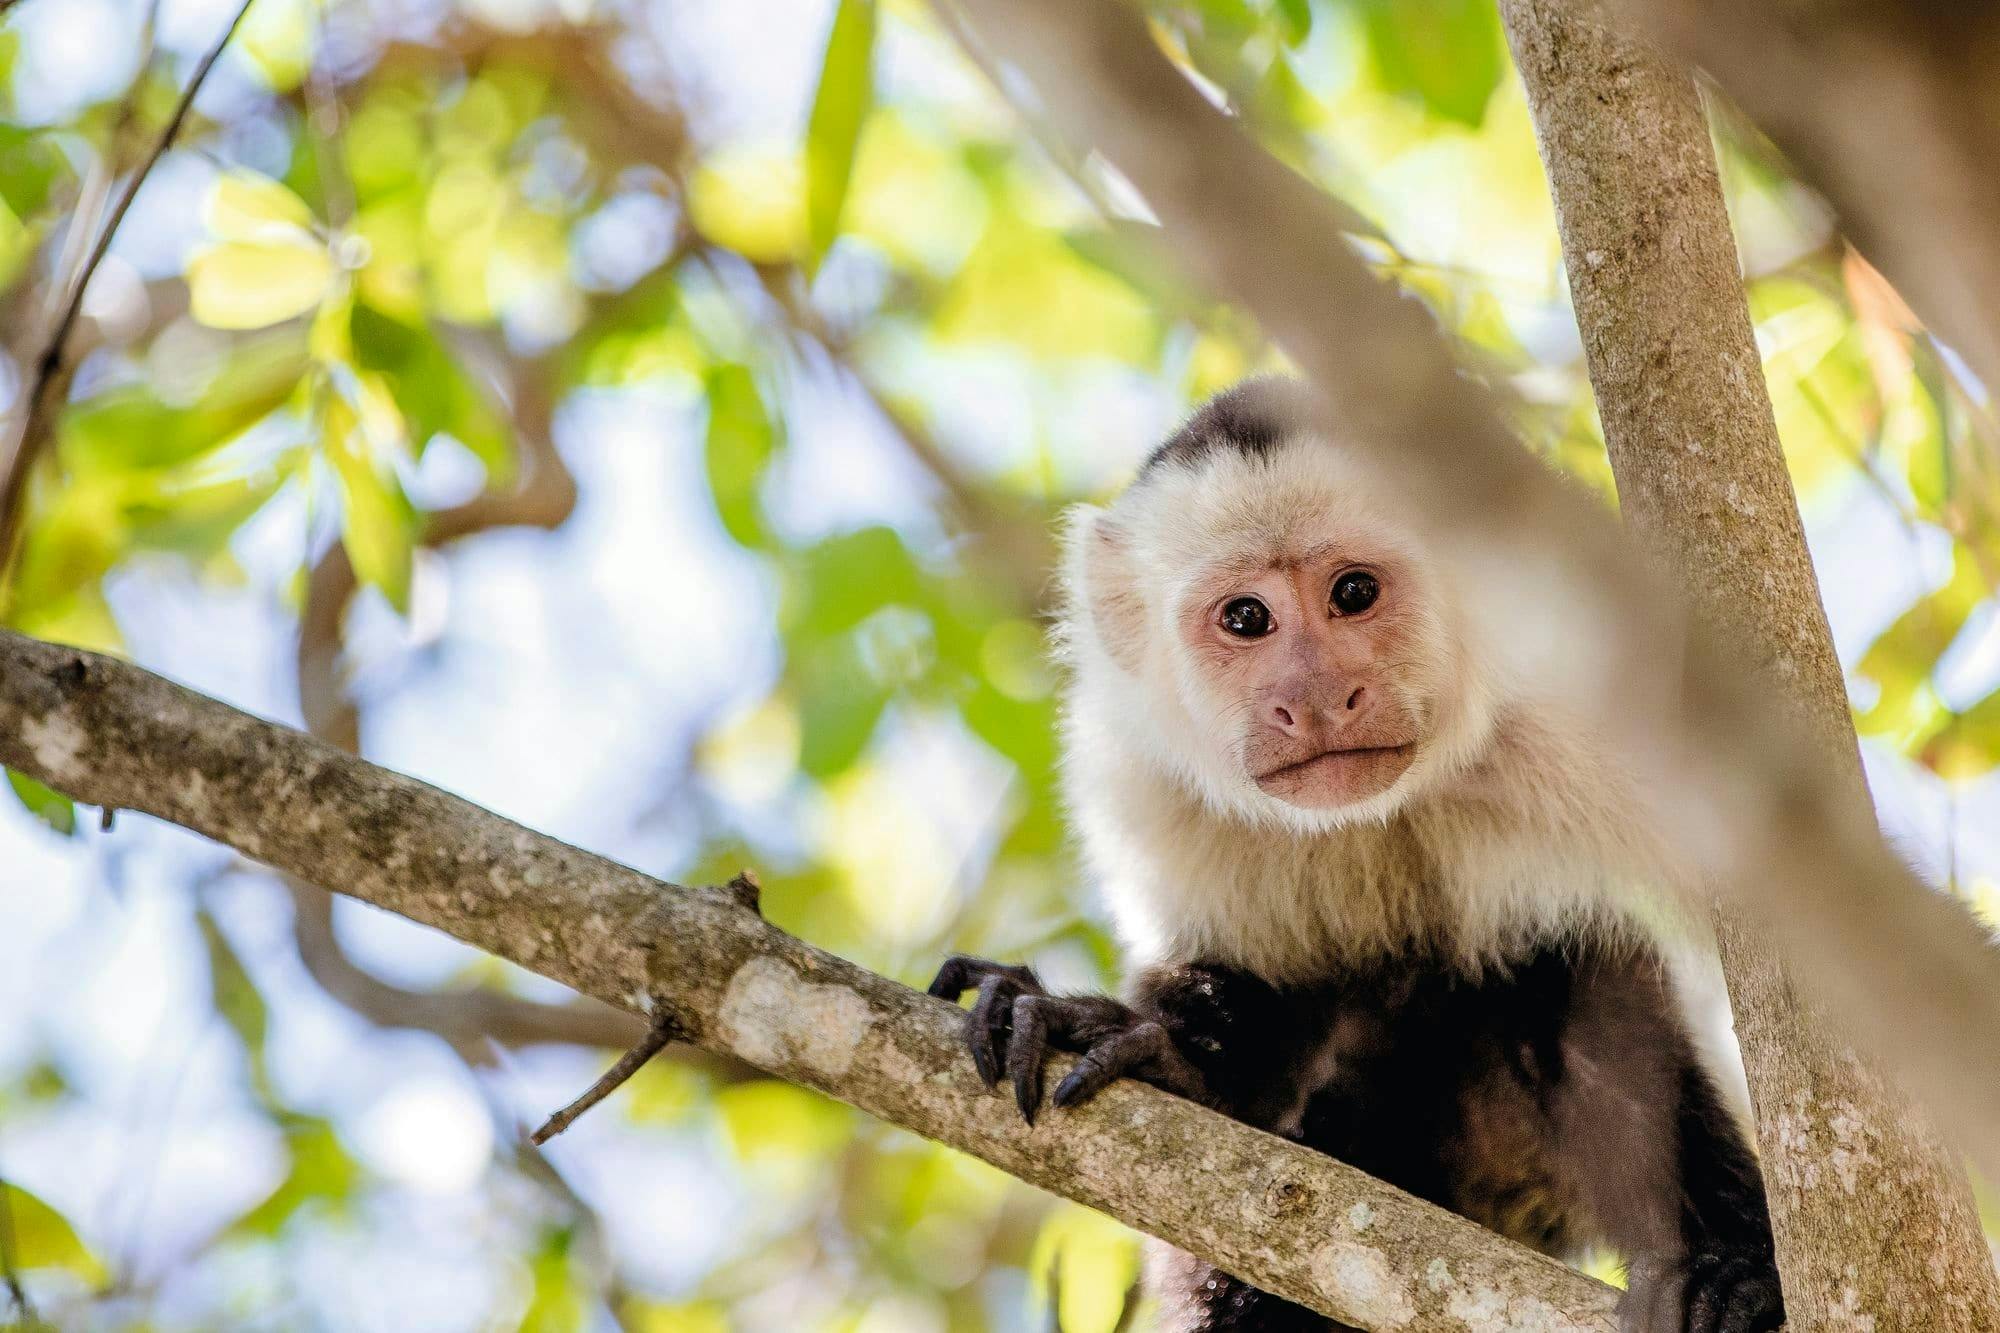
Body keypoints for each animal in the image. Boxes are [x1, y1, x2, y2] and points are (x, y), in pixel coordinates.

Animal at [928, 376, 1792, 1328]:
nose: (1314, 697)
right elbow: (1245, 1001)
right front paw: (1166, 1046)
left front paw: (1742, 1261)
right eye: (1246, 617)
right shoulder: (1138, 781)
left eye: (1353, 591)